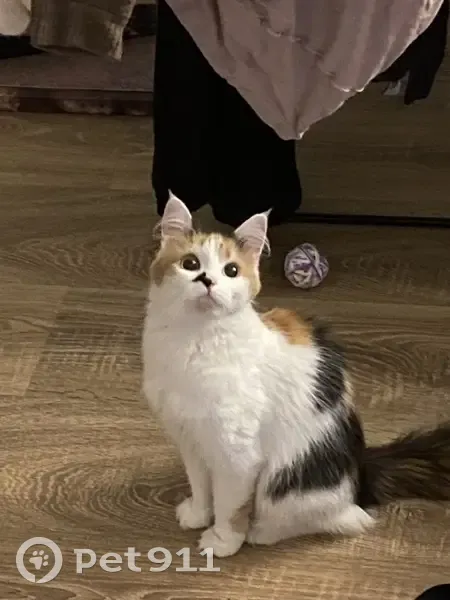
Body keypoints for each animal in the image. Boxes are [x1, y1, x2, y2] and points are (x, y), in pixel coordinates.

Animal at [142, 193, 450, 558]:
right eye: (190, 263)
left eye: (231, 271)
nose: (207, 280)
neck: (192, 341)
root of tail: (361, 473)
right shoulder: (189, 436)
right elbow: (201, 485)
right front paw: (197, 514)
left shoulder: (237, 455)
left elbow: (230, 506)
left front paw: (222, 541)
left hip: (285, 483)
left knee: (334, 519)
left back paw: (259, 532)